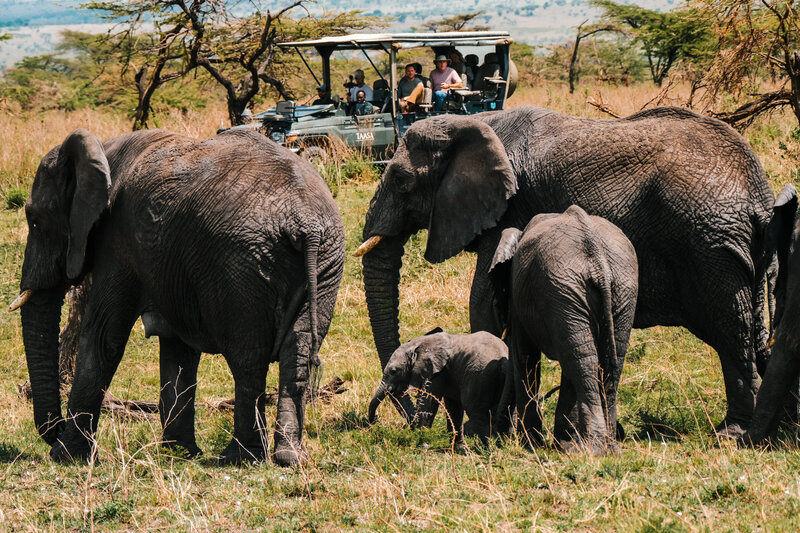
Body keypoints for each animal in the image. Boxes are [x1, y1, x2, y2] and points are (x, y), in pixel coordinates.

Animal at [10, 127, 346, 464]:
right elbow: (178, 351)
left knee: (248, 358)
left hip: (242, 266)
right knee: (296, 353)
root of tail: (305, 223)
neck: (104, 151)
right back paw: (289, 457)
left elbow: (104, 338)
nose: (55, 429)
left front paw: (65, 456)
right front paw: (179, 453)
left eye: (35, 221)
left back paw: (238, 457)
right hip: (325, 262)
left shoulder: (118, 242)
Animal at [368, 328, 506, 444]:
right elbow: (453, 407)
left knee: (476, 411)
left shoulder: (437, 372)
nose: (375, 422)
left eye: (393, 371)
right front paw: (460, 450)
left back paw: (485, 450)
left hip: (479, 376)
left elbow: (428, 402)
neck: (419, 343)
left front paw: (419, 441)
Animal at [490, 204, 640, 454]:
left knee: (582, 362)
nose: (499, 436)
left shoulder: (521, 297)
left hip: (566, 290)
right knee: (598, 361)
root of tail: (598, 259)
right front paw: (564, 442)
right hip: (613, 290)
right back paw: (606, 446)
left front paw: (532, 445)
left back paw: (594, 448)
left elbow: (525, 357)